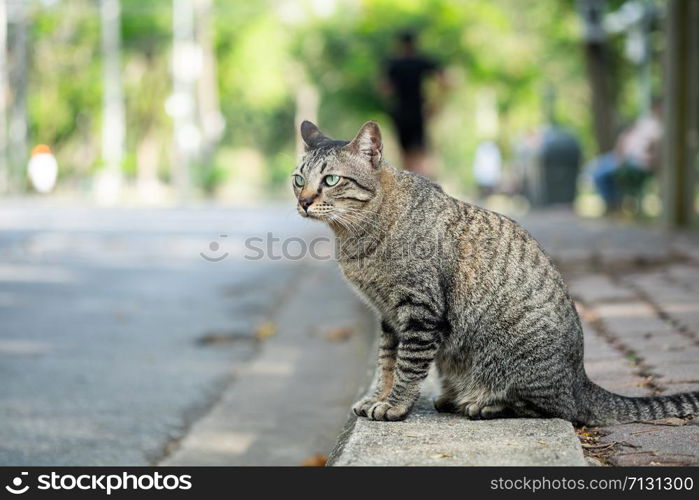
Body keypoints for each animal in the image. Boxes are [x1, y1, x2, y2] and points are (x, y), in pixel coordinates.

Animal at [292, 119, 699, 424]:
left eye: (331, 180)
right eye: (298, 179)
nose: (304, 201)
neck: (355, 237)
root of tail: (581, 379)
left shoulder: (418, 311)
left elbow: (407, 366)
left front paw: (395, 405)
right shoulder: (389, 316)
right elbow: (386, 362)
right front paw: (379, 396)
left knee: (555, 409)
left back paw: (483, 403)